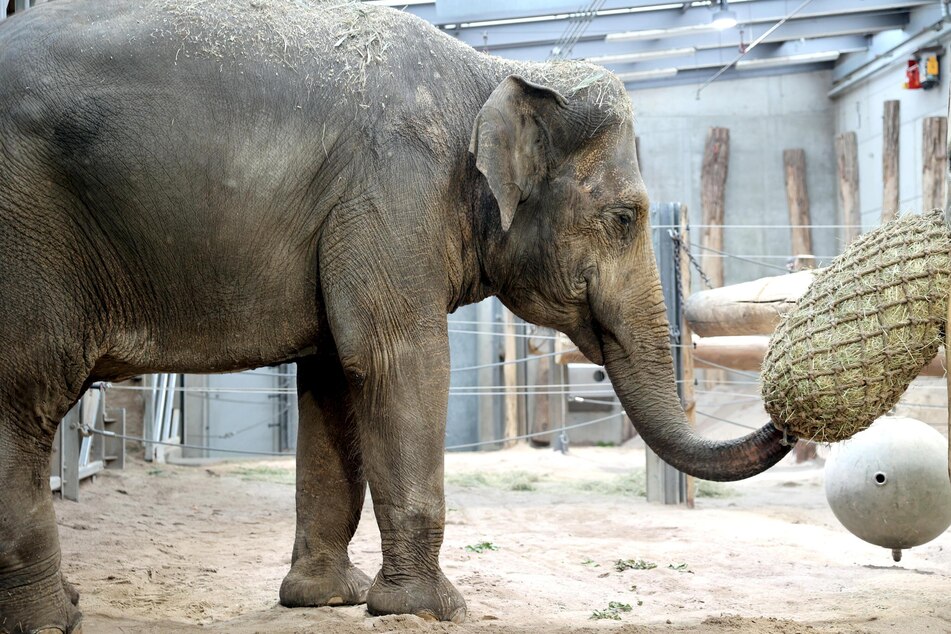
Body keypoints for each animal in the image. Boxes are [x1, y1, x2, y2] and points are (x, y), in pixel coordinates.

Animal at [0, 2, 788, 628]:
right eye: (625, 218)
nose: (783, 413)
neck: (496, 72)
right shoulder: (394, 186)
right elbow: (394, 358)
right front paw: (432, 610)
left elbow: (332, 378)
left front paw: (326, 598)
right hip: (25, 234)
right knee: (25, 394)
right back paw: (50, 618)